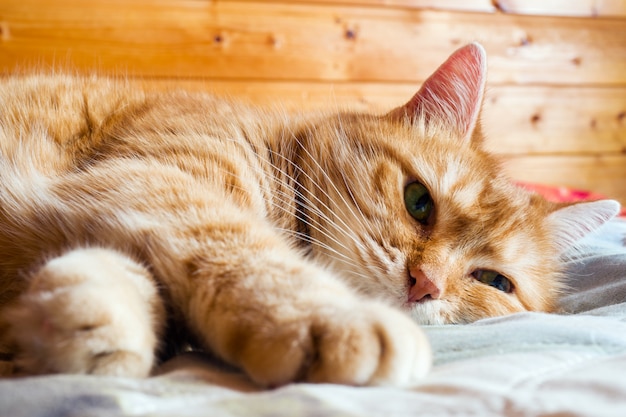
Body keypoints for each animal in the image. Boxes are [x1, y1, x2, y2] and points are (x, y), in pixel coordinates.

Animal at [0, 44, 616, 386]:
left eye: (493, 281)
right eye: (419, 201)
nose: (424, 285)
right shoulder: (154, 177)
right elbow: (239, 246)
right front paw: (330, 316)